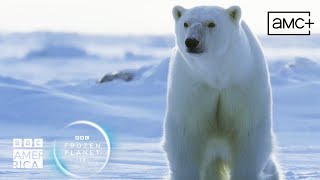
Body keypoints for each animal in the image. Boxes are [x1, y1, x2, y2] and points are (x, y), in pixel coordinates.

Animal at [162, 4, 282, 180]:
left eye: (211, 23)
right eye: (186, 23)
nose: (191, 41)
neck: (217, 75)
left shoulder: (243, 82)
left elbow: (248, 133)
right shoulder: (192, 84)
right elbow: (186, 133)